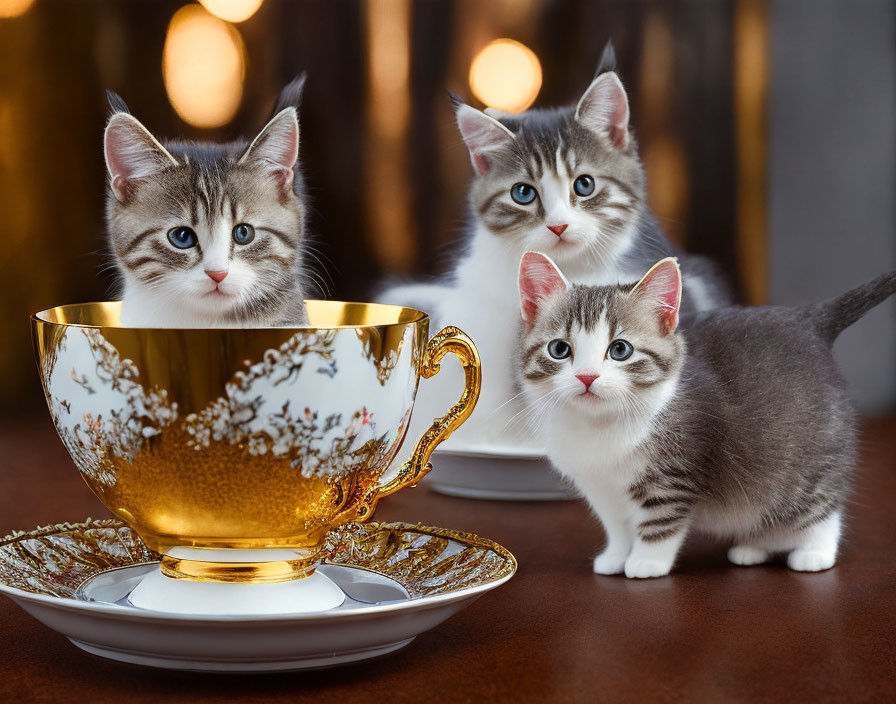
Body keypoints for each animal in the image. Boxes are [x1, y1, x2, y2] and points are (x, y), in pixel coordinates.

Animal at [520, 252, 896, 576]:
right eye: (559, 349)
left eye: (620, 350)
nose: (587, 377)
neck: (598, 426)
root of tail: (808, 321)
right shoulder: (600, 487)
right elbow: (617, 527)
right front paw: (616, 557)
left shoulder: (674, 473)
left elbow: (659, 522)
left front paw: (646, 562)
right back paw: (754, 548)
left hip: (812, 455)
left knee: (820, 507)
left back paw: (815, 552)